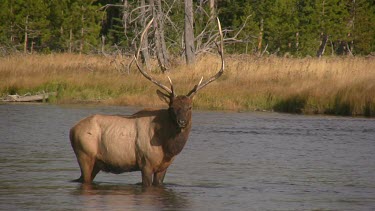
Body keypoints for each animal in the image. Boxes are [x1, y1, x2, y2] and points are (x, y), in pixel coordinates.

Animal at [69, 17, 225, 186]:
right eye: (172, 107)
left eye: (189, 107)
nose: (182, 122)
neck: (167, 148)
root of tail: (72, 130)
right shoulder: (146, 163)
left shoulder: (163, 167)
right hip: (85, 156)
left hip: (96, 164)